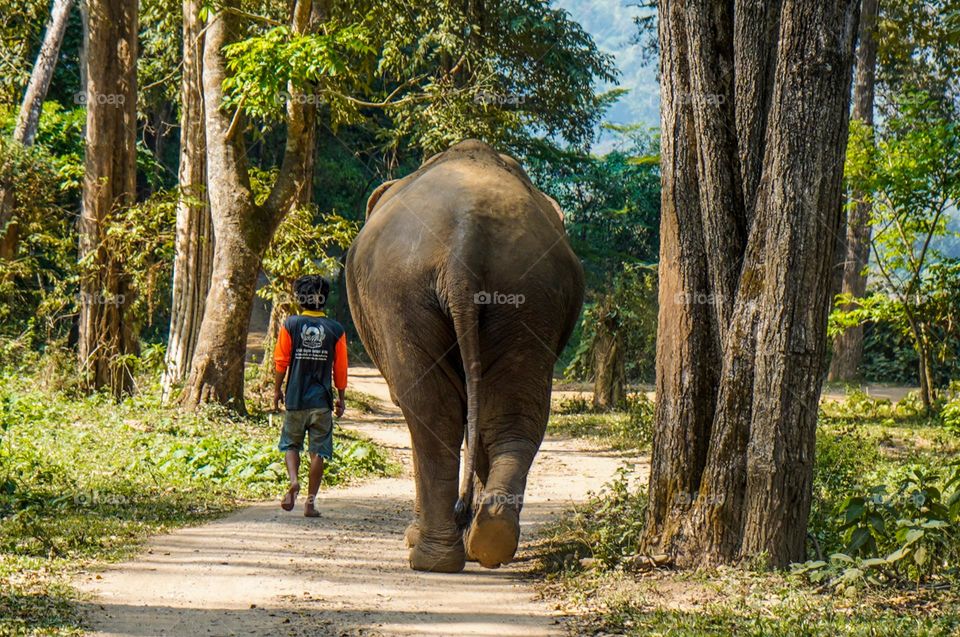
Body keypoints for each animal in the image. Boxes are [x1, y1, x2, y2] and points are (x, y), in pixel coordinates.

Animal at [345, 139, 584, 573]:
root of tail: (465, 243)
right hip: (529, 294)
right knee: (510, 411)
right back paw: (490, 538)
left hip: (401, 293)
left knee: (431, 410)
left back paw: (431, 555)